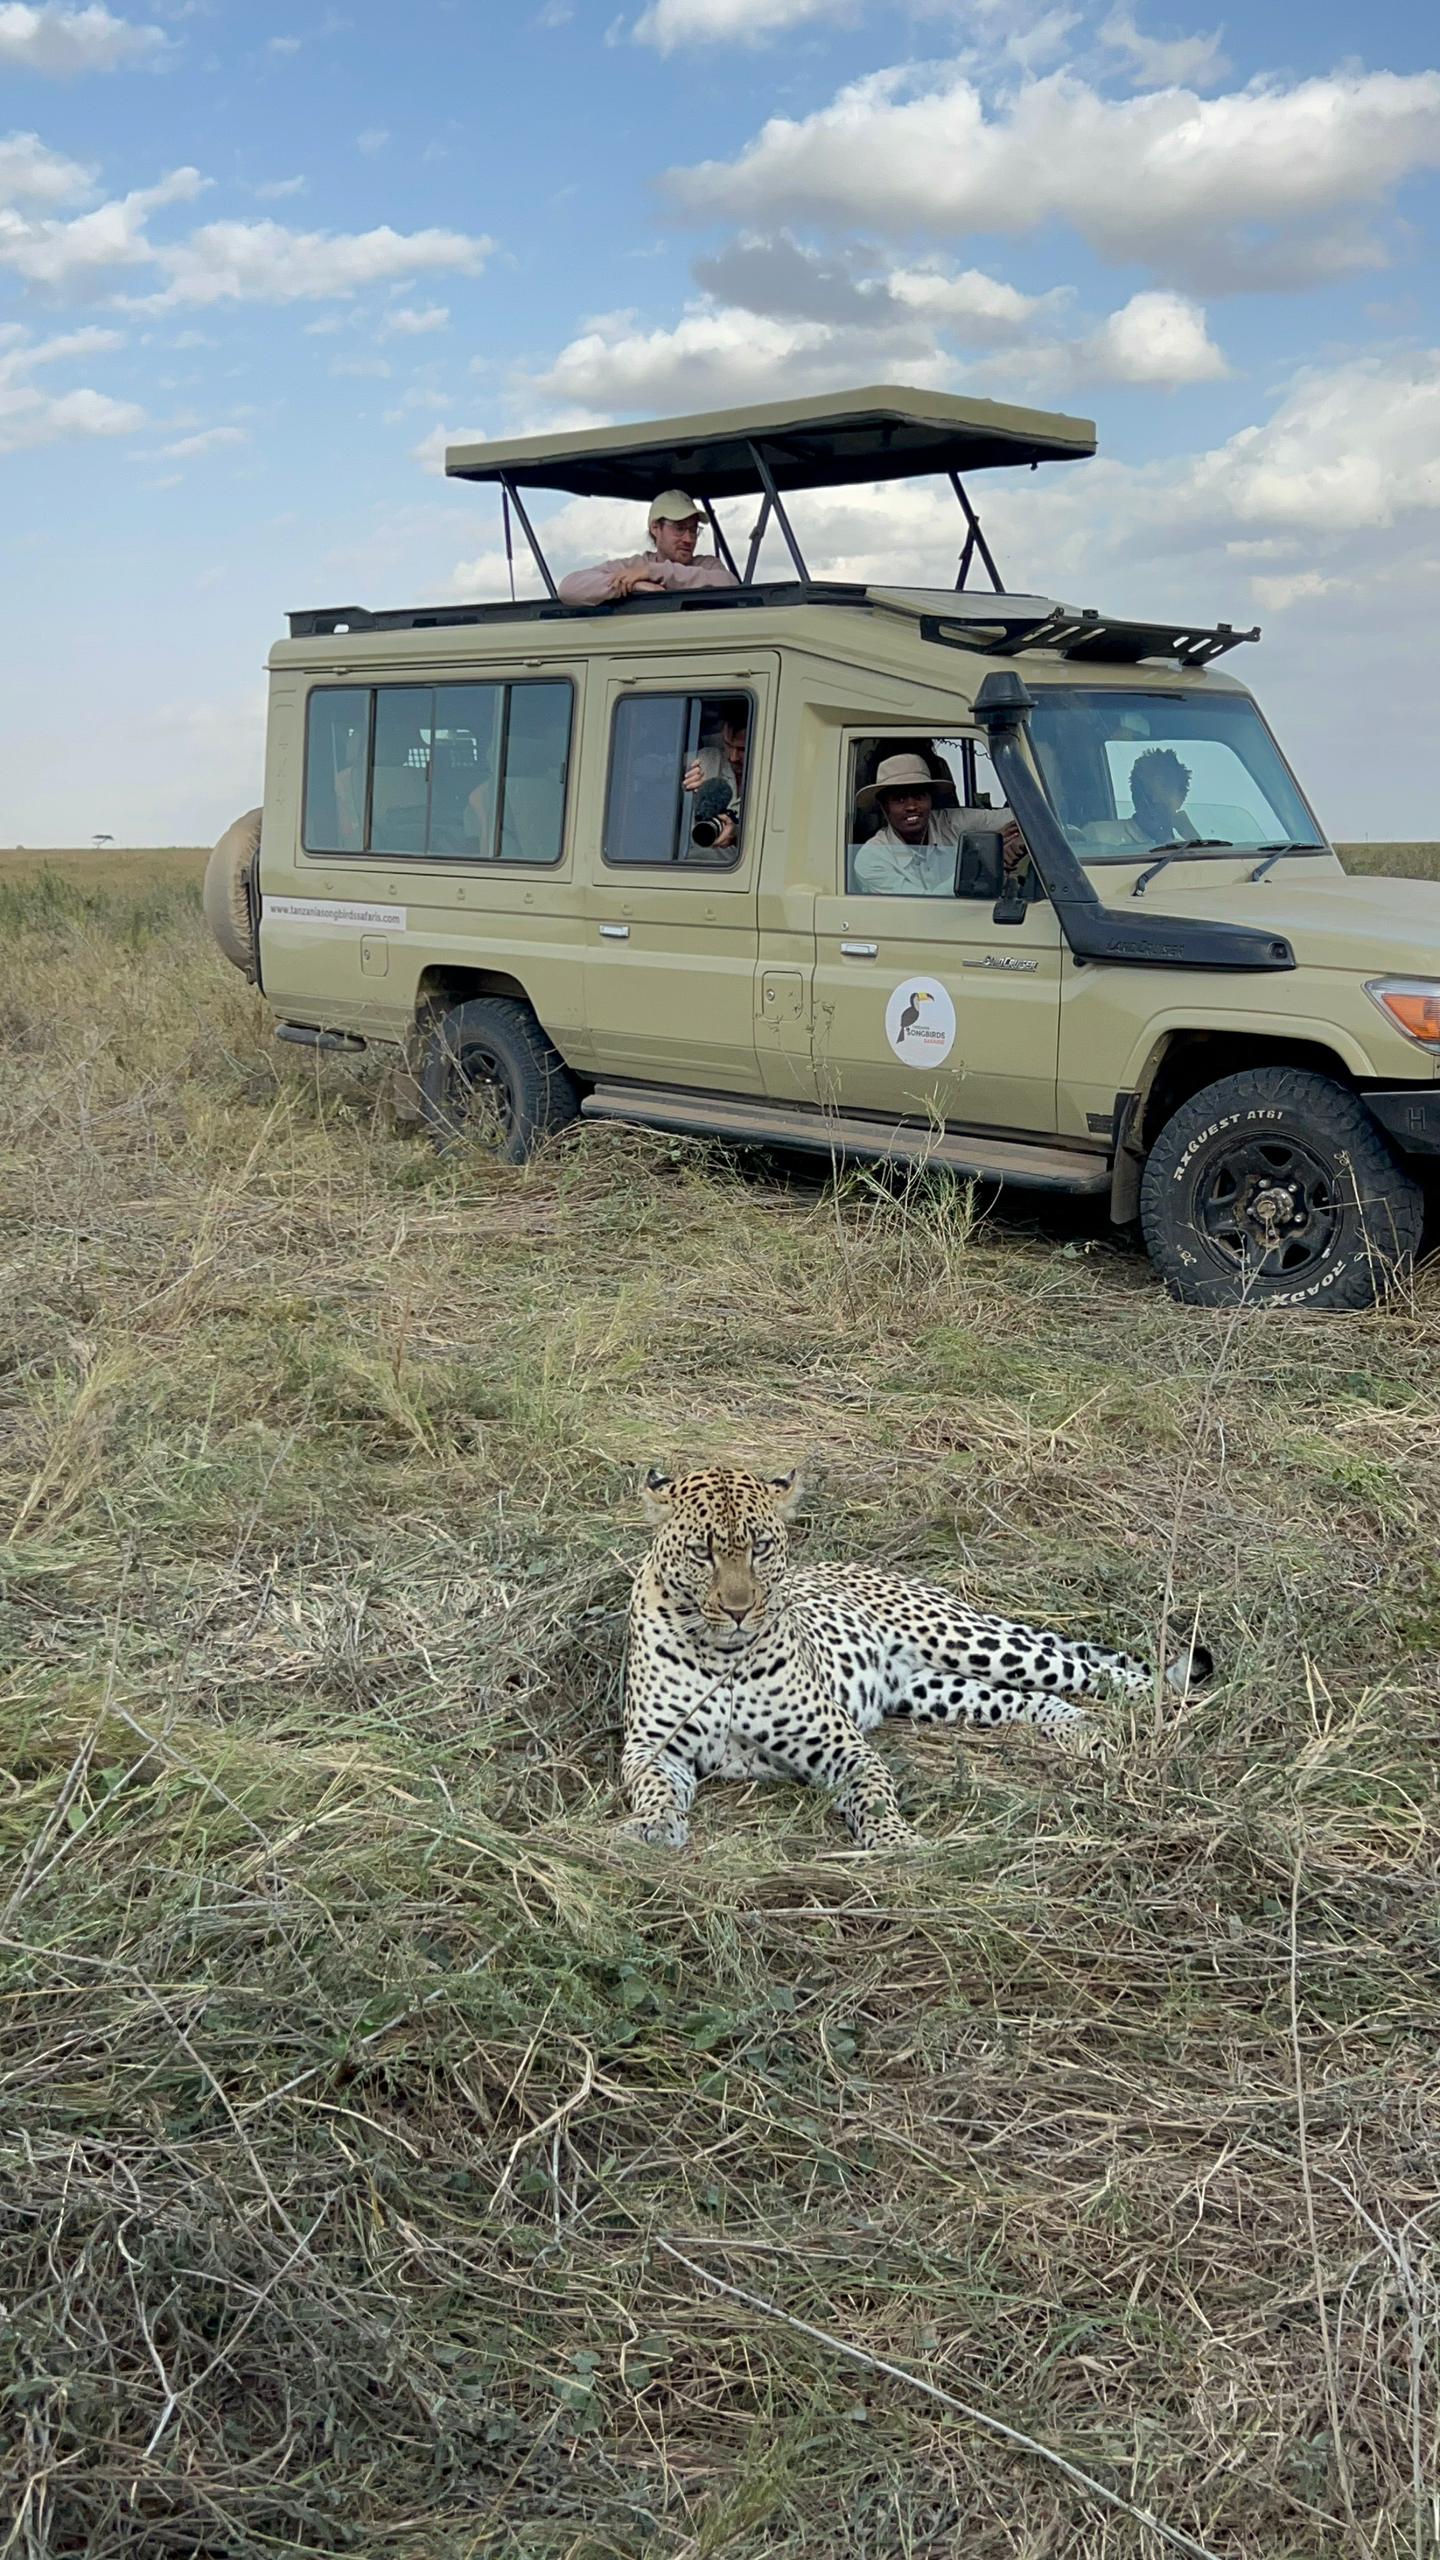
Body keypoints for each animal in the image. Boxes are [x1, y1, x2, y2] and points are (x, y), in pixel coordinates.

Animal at [619, 1465, 1211, 1850]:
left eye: (761, 1547)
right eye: (702, 1552)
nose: (740, 1610)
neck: (723, 1655)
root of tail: (881, 1570)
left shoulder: (839, 1744)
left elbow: (873, 1793)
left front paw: (895, 1840)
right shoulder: (653, 1747)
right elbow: (652, 1789)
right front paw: (652, 1827)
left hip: (969, 1641)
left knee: (1089, 1671)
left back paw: (1157, 1705)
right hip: (932, 1690)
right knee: (1024, 1698)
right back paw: (1076, 1728)